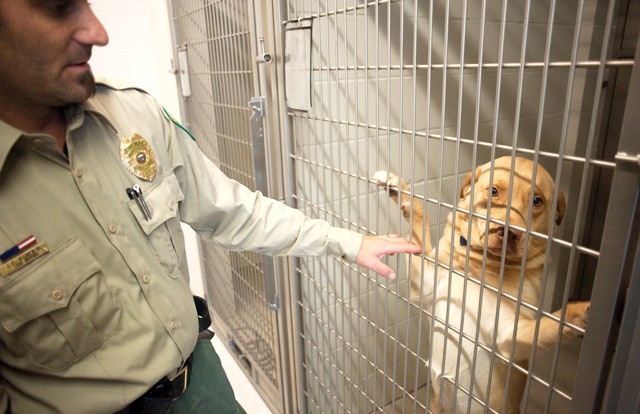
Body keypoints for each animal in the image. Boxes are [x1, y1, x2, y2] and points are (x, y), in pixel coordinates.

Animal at [376, 157, 592, 412]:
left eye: (537, 201)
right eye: (493, 191)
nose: (508, 232)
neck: (480, 266)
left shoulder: (510, 334)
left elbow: (555, 321)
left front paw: (588, 310)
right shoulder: (424, 282)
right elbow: (421, 215)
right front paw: (398, 188)